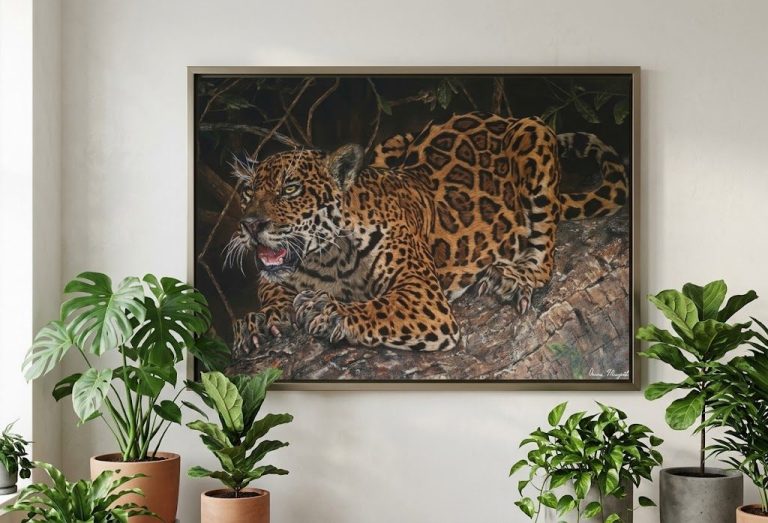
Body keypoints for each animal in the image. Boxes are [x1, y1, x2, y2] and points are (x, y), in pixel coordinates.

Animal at [225, 111, 628, 355]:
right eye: (248, 192)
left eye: (290, 189)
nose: (250, 225)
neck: (327, 259)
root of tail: (498, 116)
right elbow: (270, 287)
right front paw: (261, 319)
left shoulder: (423, 297)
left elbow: (379, 307)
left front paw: (329, 311)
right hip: (392, 143)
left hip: (535, 136)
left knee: (546, 253)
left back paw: (514, 276)